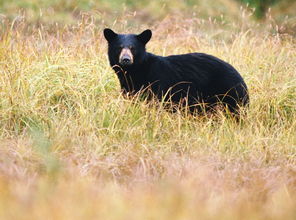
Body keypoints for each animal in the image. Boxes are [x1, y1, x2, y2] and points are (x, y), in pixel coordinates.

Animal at [103, 28, 249, 114]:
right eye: (119, 47)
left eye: (133, 48)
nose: (126, 59)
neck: (134, 71)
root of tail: (241, 79)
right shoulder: (129, 87)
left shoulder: (157, 83)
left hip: (228, 93)